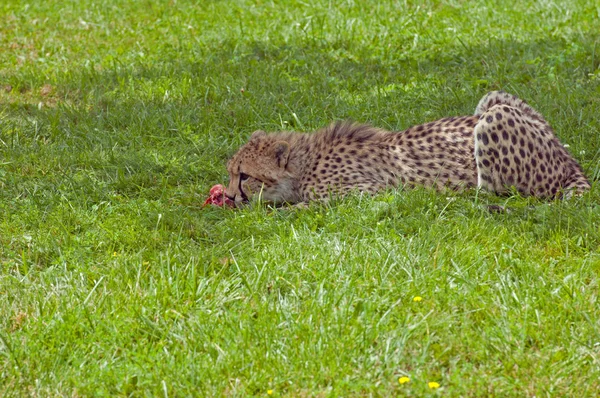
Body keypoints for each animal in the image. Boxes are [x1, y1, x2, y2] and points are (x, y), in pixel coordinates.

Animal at [225, 91, 592, 205]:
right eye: (230, 173)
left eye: (244, 176)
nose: (227, 196)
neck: (303, 163)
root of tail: (568, 160)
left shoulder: (369, 192)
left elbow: (307, 207)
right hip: (492, 99)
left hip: (494, 119)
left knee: (494, 192)